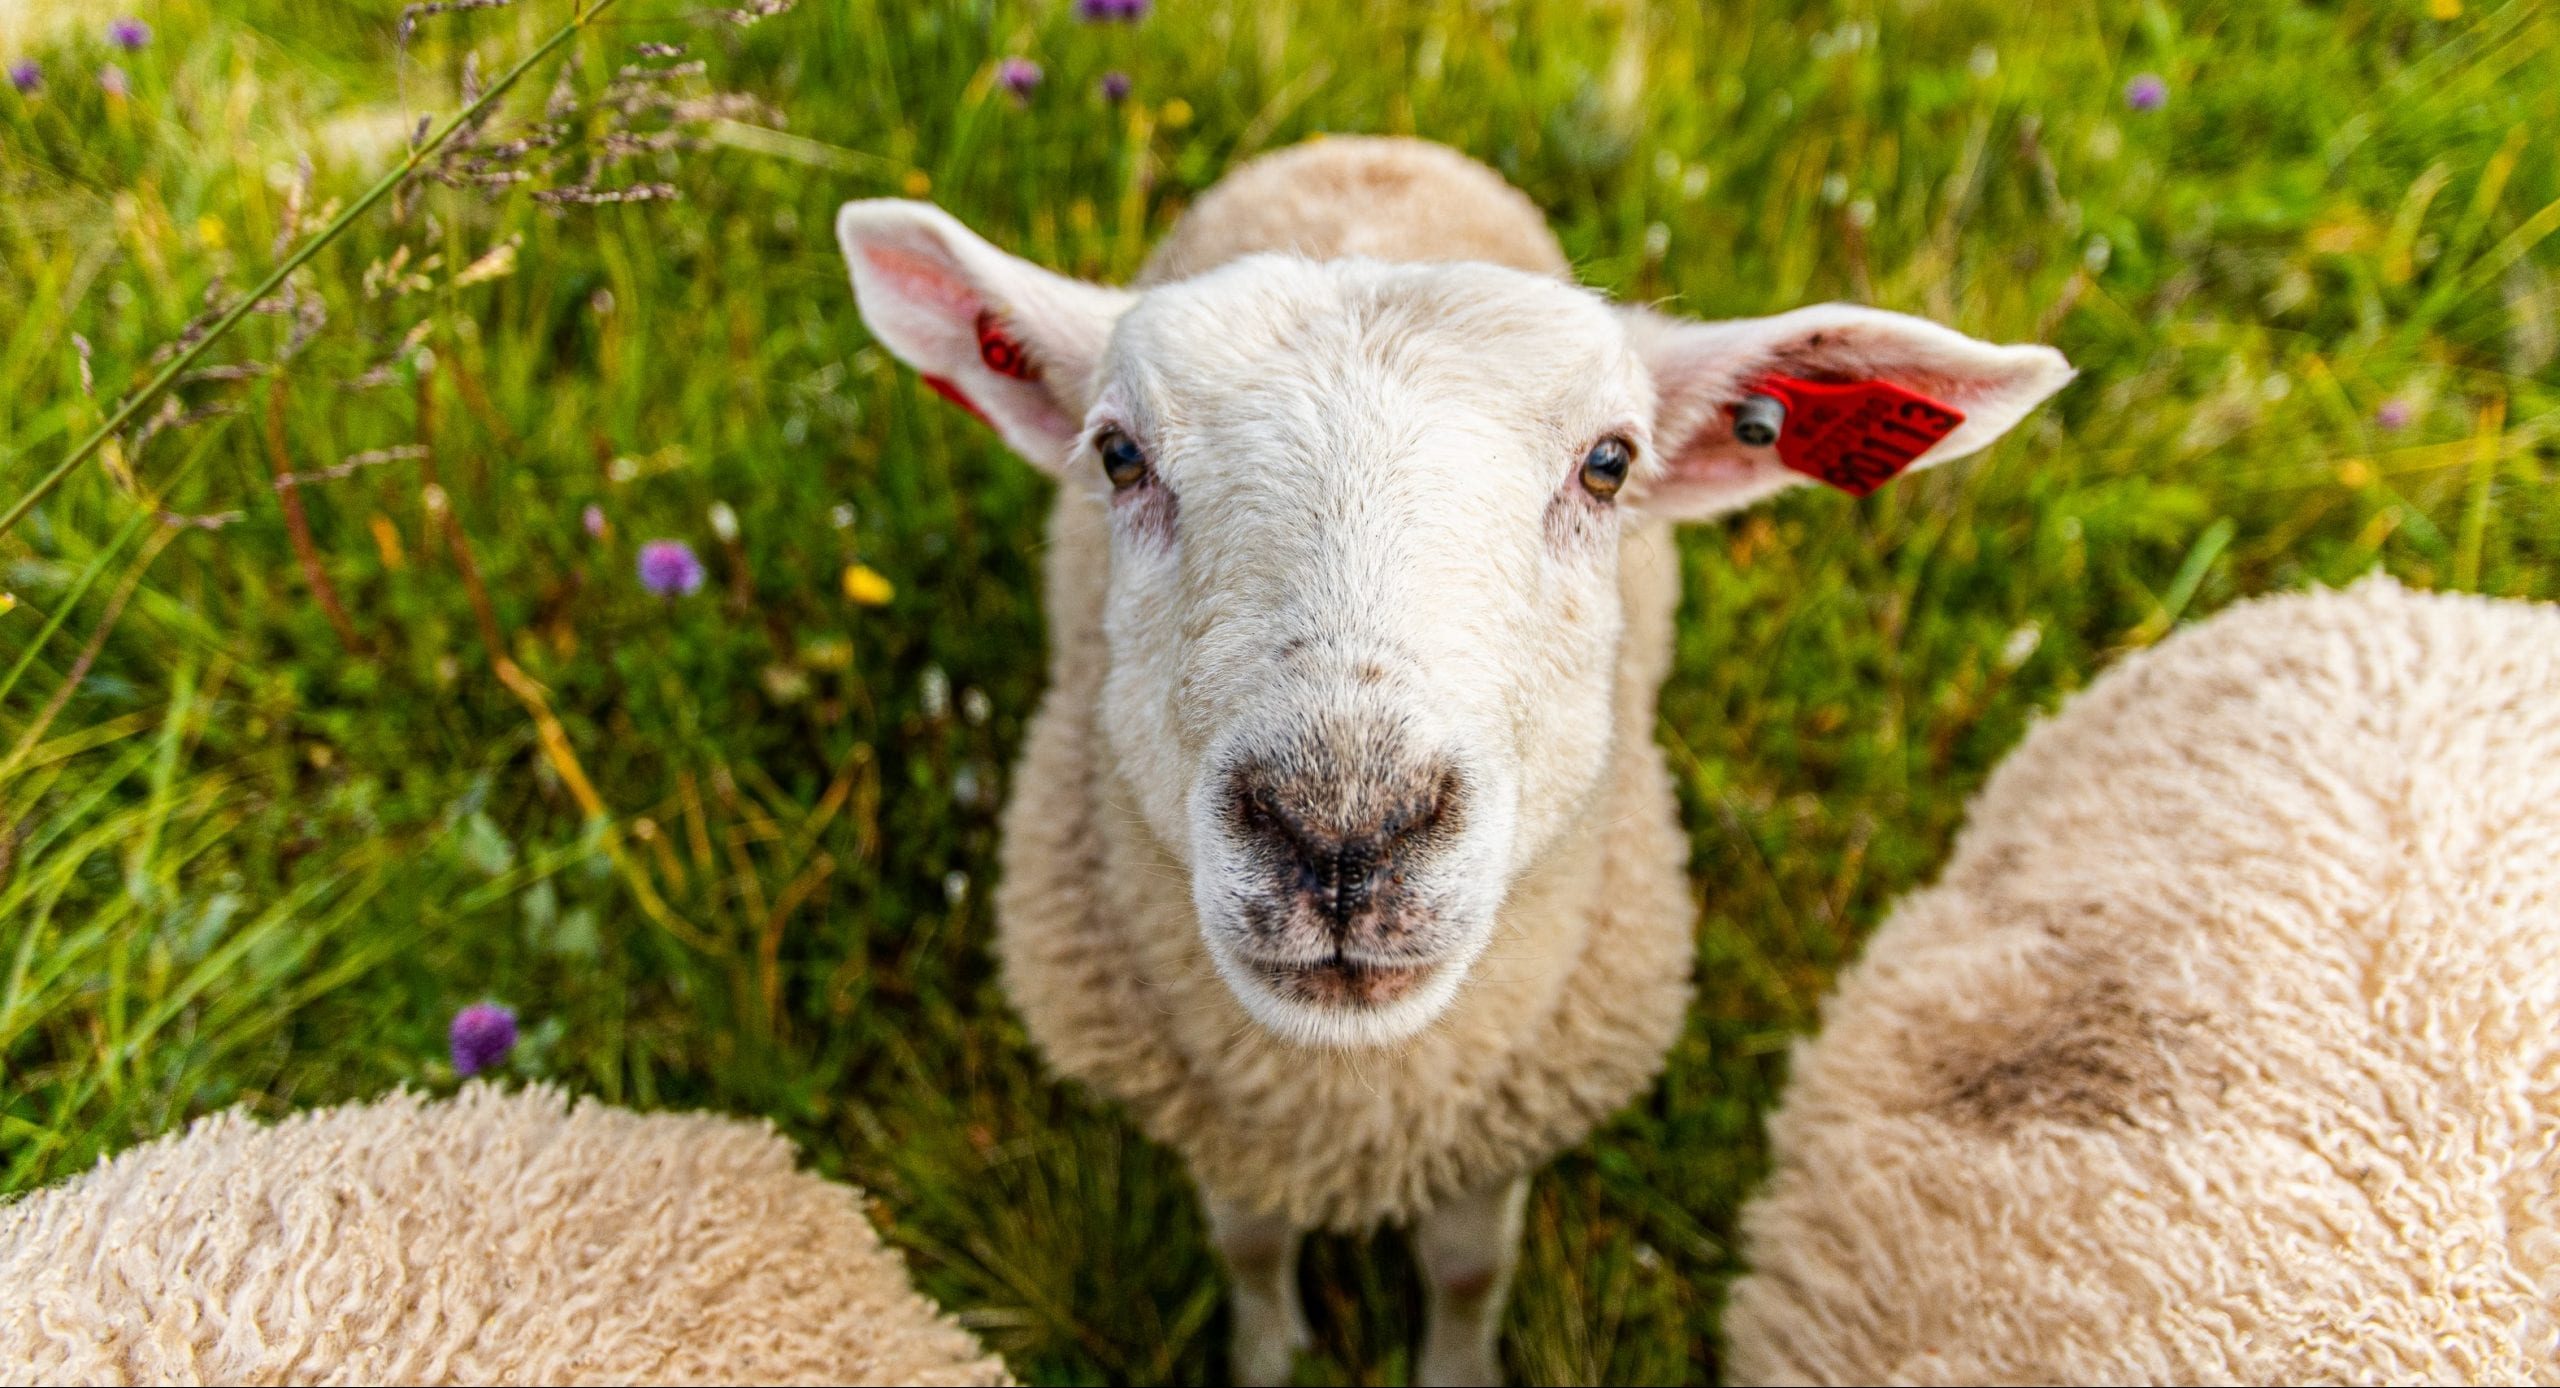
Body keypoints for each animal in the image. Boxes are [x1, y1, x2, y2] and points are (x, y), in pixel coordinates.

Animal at [833, 134, 2074, 1384]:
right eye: (1120, 456)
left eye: (1609, 464)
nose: (1342, 828)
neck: (1356, 1102)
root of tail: (1365, 146)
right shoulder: (1220, 1124)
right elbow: (1248, 1245)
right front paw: (1271, 1352)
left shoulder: (1497, 1127)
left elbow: (1468, 1267)